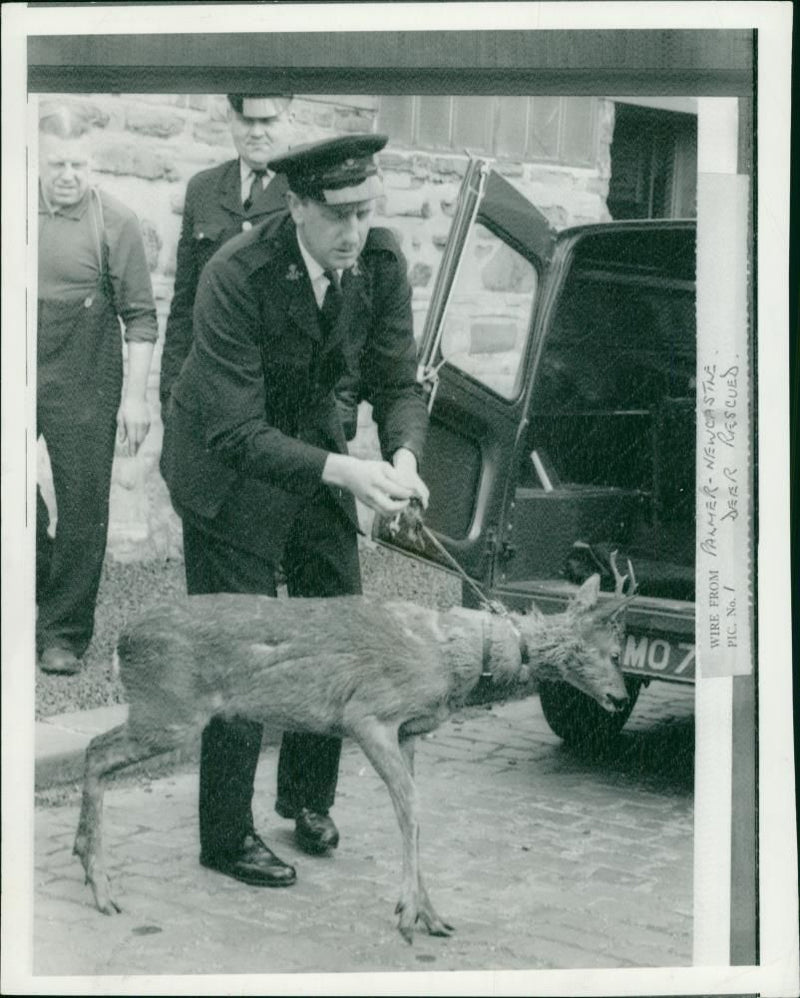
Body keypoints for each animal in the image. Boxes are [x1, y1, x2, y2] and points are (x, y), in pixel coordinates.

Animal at [75, 548, 636, 944]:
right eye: (612, 651)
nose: (620, 696)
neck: (459, 656)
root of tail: (122, 642)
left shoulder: (409, 733)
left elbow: (412, 812)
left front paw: (431, 914)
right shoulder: (368, 713)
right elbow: (410, 810)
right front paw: (409, 914)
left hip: (166, 711)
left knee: (95, 751)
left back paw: (87, 865)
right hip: (170, 710)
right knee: (97, 752)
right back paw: (101, 886)